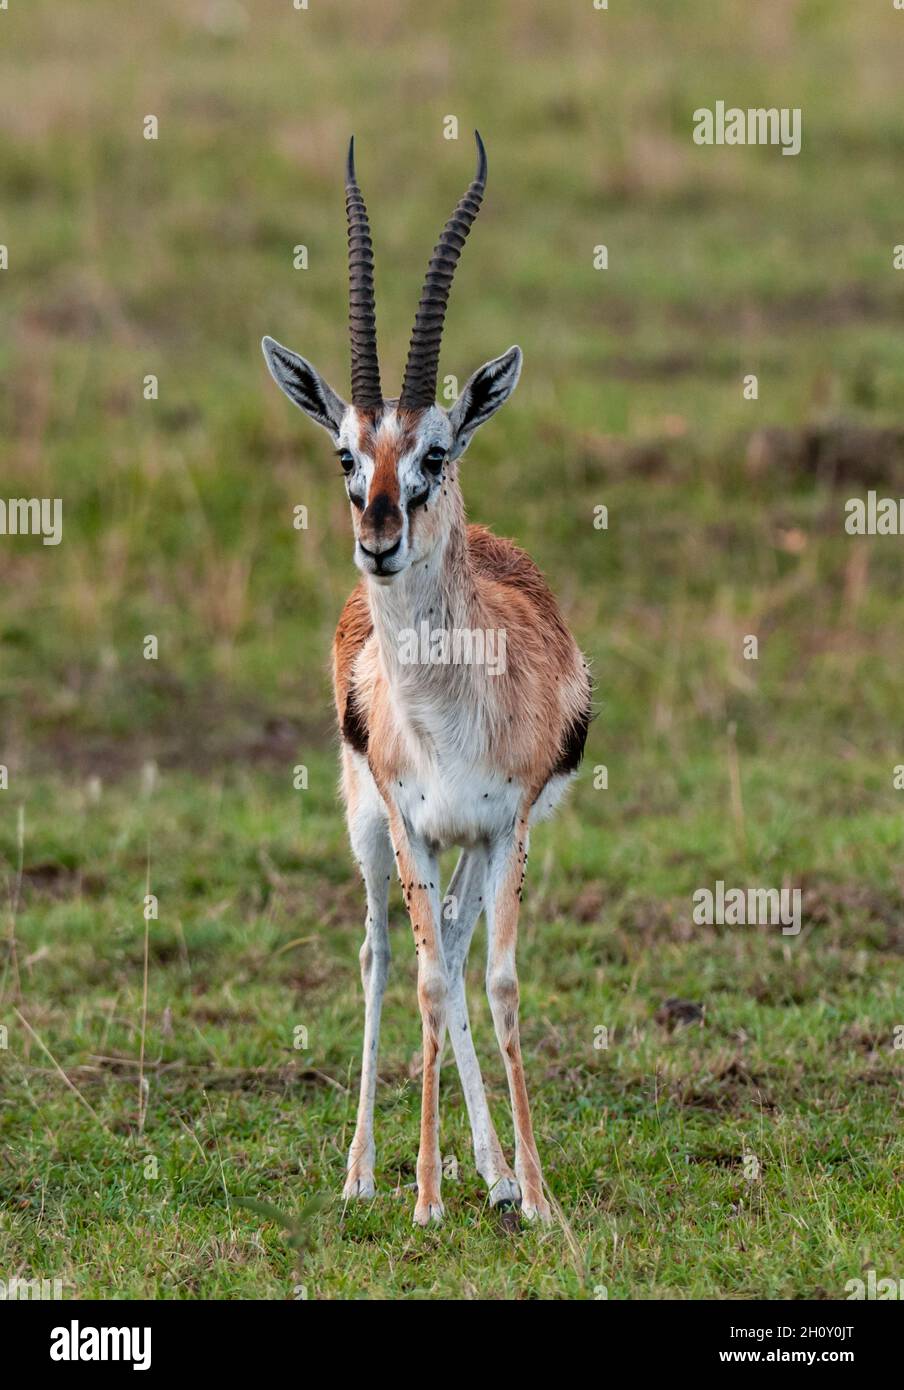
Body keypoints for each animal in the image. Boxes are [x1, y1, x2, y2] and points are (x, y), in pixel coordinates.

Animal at [262, 132, 591, 1225]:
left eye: (435, 452)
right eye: (344, 452)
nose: (379, 538)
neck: (450, 712)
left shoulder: (503, 826)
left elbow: (494, 983)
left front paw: (531, 1193)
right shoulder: (410, 818)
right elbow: (426, 983)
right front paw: (425, 1192)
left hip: (464, 851)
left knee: (445, 942)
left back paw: (493, 1172)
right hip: (372, 829)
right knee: (382, 956)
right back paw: (366, 1171)